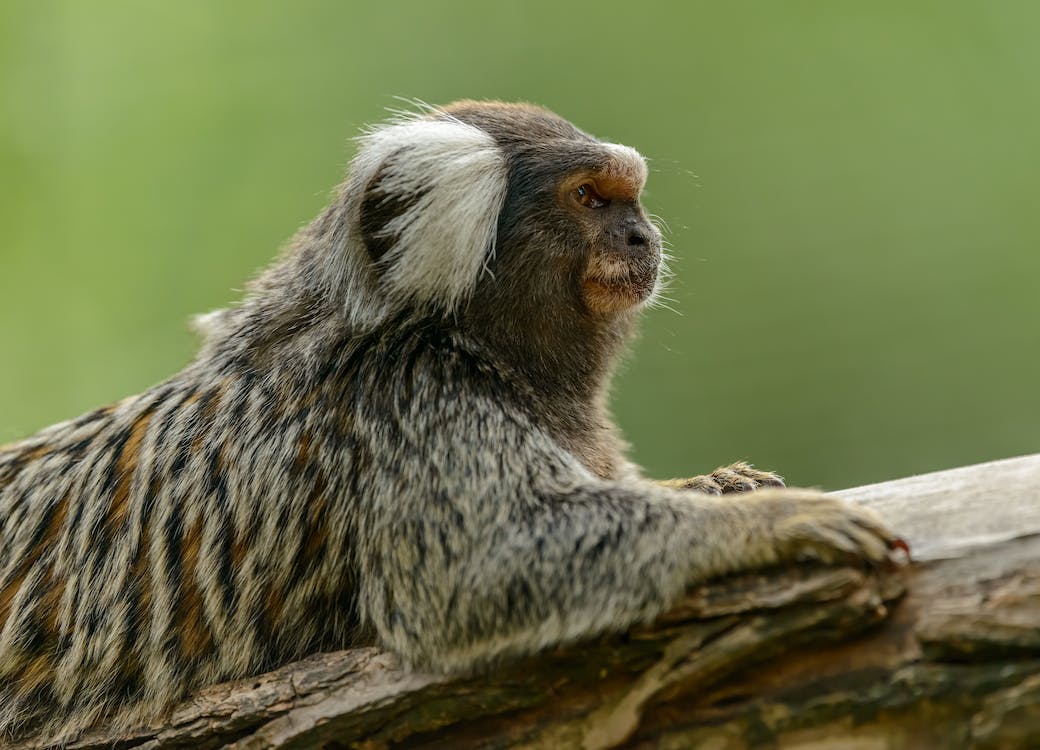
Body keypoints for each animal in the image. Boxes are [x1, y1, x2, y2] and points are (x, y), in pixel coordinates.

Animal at [0, 101, 898, 741]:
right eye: (589, 198)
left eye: (630, 199)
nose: (643, 236)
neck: (454, 337)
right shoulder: (413, 410)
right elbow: (474, 570)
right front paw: (768, 523)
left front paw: (716, 487)